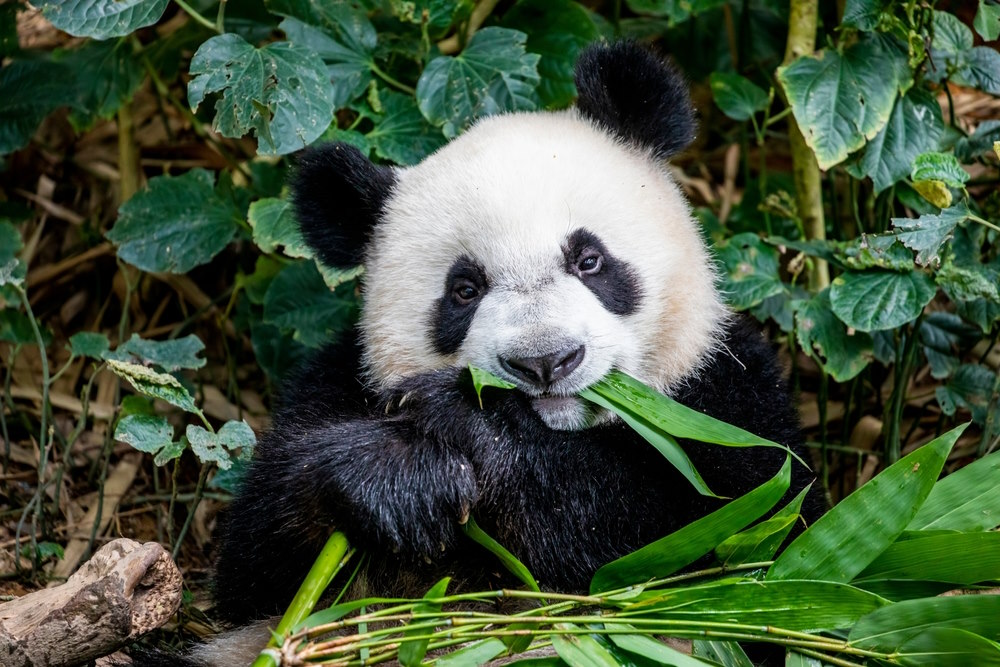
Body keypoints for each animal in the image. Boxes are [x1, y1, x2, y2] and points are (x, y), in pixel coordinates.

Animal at [175, 42, 824, 666]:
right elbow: (252, 564)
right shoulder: (337, 382)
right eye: (465, 289)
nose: (545, 362)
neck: (561, 431)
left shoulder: (724, 390)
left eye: (588, 259)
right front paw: (392, 475)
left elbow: (728, 536)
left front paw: (473, 427)